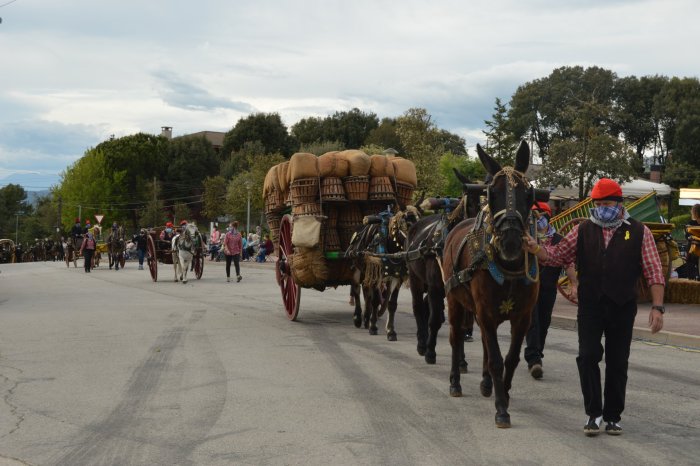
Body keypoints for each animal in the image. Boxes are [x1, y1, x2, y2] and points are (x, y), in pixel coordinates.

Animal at [442, 140, 536, 428]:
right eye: (492, 194)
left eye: (528, 194)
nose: (511, 242)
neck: (509, 268)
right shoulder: (484, 311)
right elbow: (495, 359)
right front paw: (502, 408)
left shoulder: (523, 317)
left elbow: (511, 358)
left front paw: (502, 391)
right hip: (455, 300)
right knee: (456, 337)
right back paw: (455, 382)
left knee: (483, 340)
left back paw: (486, 384)